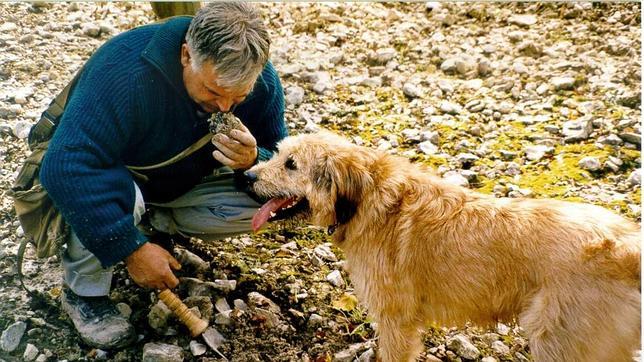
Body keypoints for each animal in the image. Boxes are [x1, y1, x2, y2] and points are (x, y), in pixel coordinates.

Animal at [245, 132, 640, 360]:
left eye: (291, 164)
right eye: (279, 154)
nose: (246, 176)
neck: (373, 199)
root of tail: (628, 244)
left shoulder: (396, 322)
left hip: (561, 341)